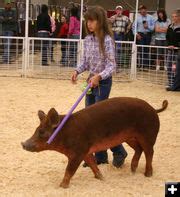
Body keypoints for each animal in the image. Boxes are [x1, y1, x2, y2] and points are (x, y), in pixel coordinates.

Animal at [21, 97, 168, 188]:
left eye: (41, 132)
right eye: (36, 130)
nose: (23, 143)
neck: (65, 133)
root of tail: (153, 109)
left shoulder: (78, 152)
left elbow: (70, 170)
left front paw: (61, 186)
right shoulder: (86, 151)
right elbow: (92, 163)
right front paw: (101, 178)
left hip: (148, 134)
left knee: (149, 151)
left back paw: (147, 174)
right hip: (130, 137)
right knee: (139, 149)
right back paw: (132, 170)